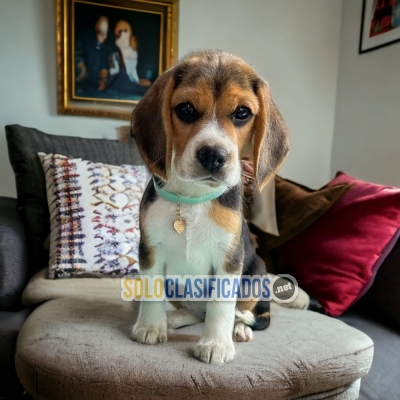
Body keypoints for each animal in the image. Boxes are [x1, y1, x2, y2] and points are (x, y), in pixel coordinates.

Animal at [130, 48, 288, 364]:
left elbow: (221, 305)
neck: (192, 198)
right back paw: (172, 319)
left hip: (255, 273)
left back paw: (239, 329)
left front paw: (216, 344)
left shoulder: (229, 258)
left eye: (242, 113)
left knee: (249, 314)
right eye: (186, 109)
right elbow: (151, 291)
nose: (213, 155)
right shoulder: (150, 250)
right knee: (194, 313)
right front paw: (150, 327)